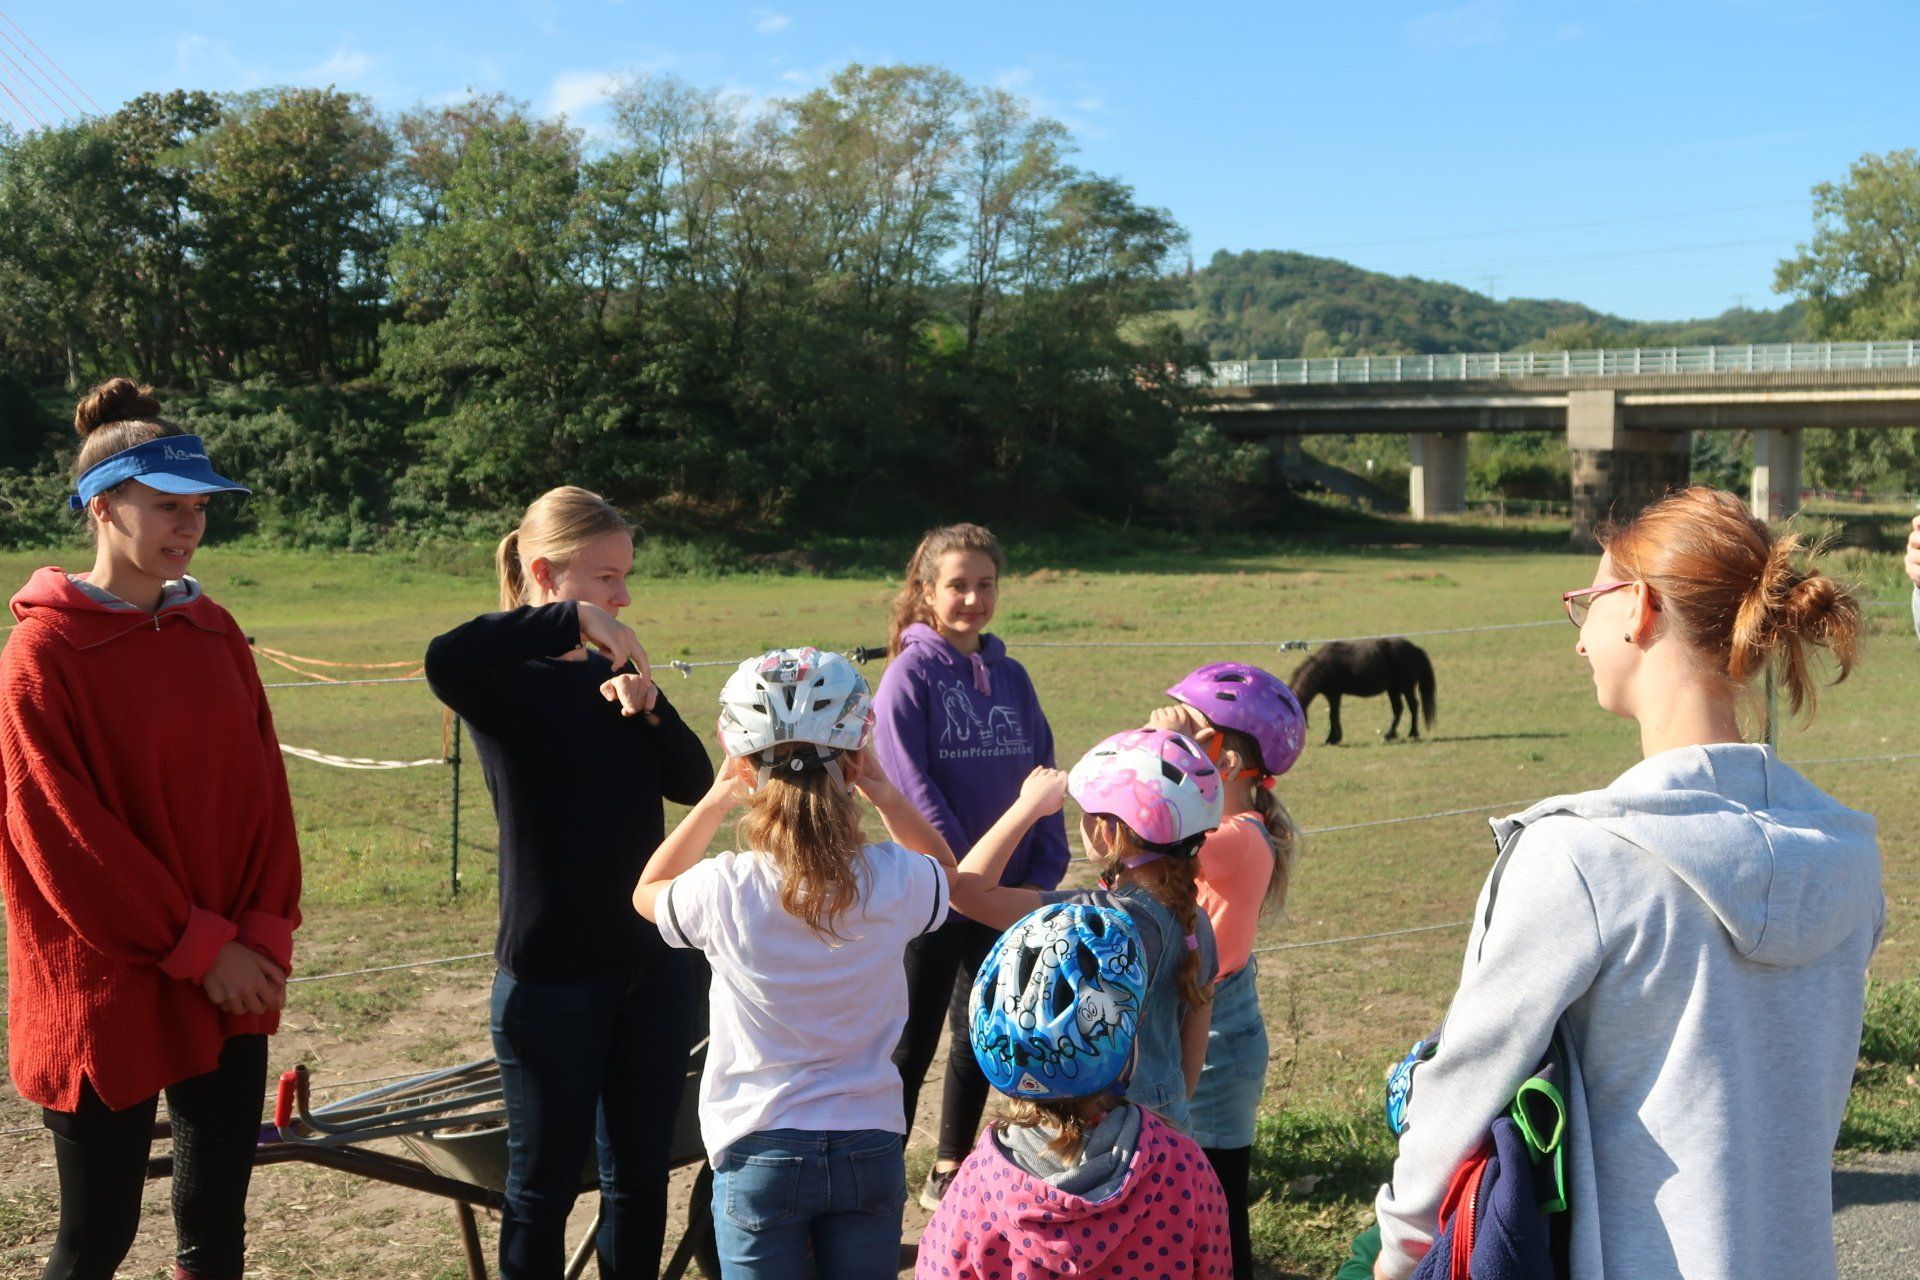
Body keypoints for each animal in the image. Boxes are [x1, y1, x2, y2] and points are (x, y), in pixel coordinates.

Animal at [1290, 637, 1443, 744]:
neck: (1322, 668)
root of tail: (1416, 649)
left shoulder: (1334, 694)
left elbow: (1333, 715)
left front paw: (1332, 739)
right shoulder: (1332, 695)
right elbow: (1335, 715)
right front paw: (1336, 737)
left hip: (1406, 688)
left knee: (1413, 706)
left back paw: (1412, 733)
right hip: (1393, 689)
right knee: (1398, 709)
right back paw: (1389, 735)